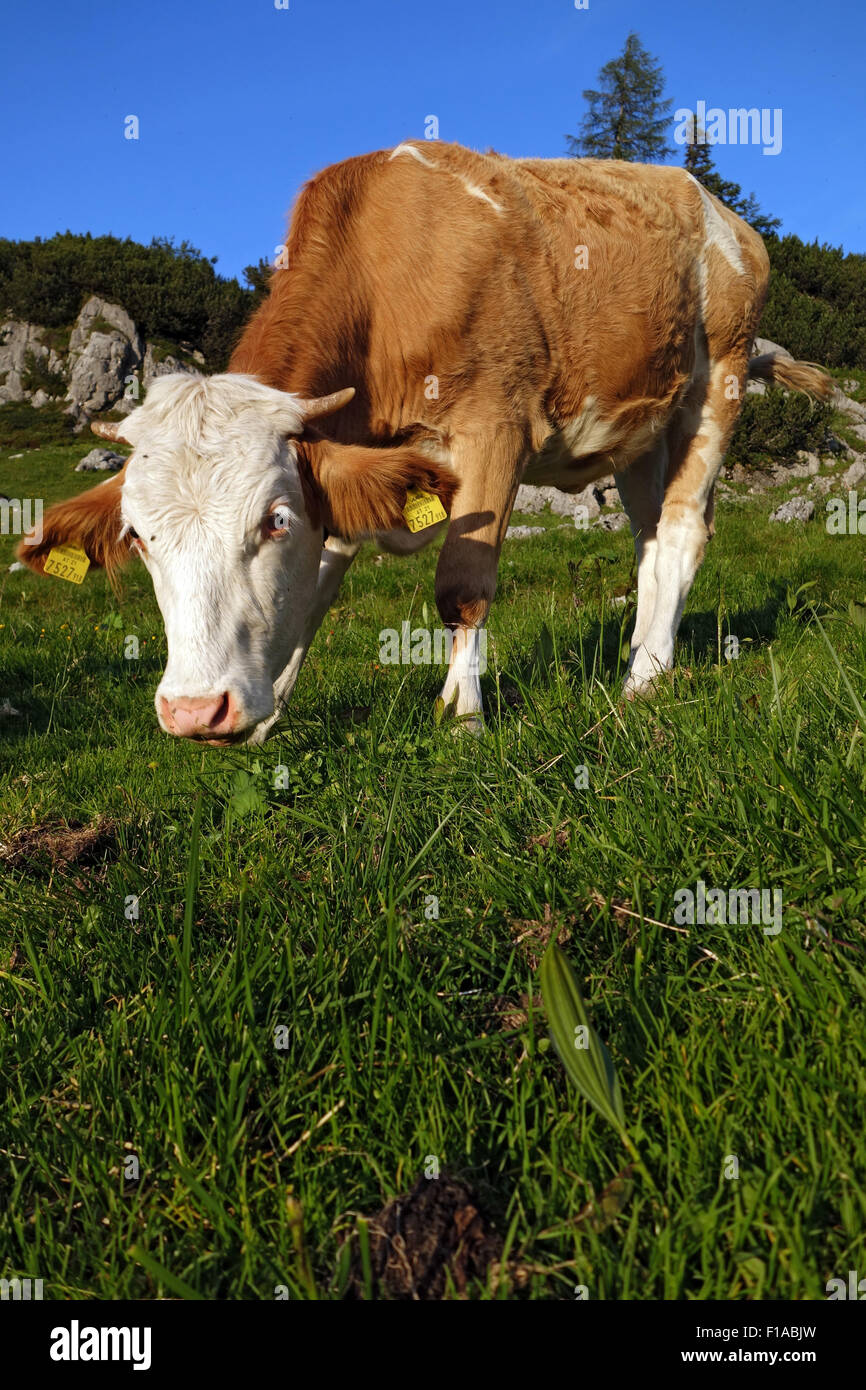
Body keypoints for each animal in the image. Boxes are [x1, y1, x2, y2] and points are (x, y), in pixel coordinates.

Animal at [20, 141, 832, 744]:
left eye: (271, 521)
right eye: (139, 537)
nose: (194, 711)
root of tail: (712, 204)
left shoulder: (494, 429)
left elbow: (463, 582)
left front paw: (464, 715)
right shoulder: (343, 466)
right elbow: (312, 596)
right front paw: (272, 708)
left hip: (718, 378)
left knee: (684, 526)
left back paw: (643, 683)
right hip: (639, 429)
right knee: (651, 538)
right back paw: (644, 656)